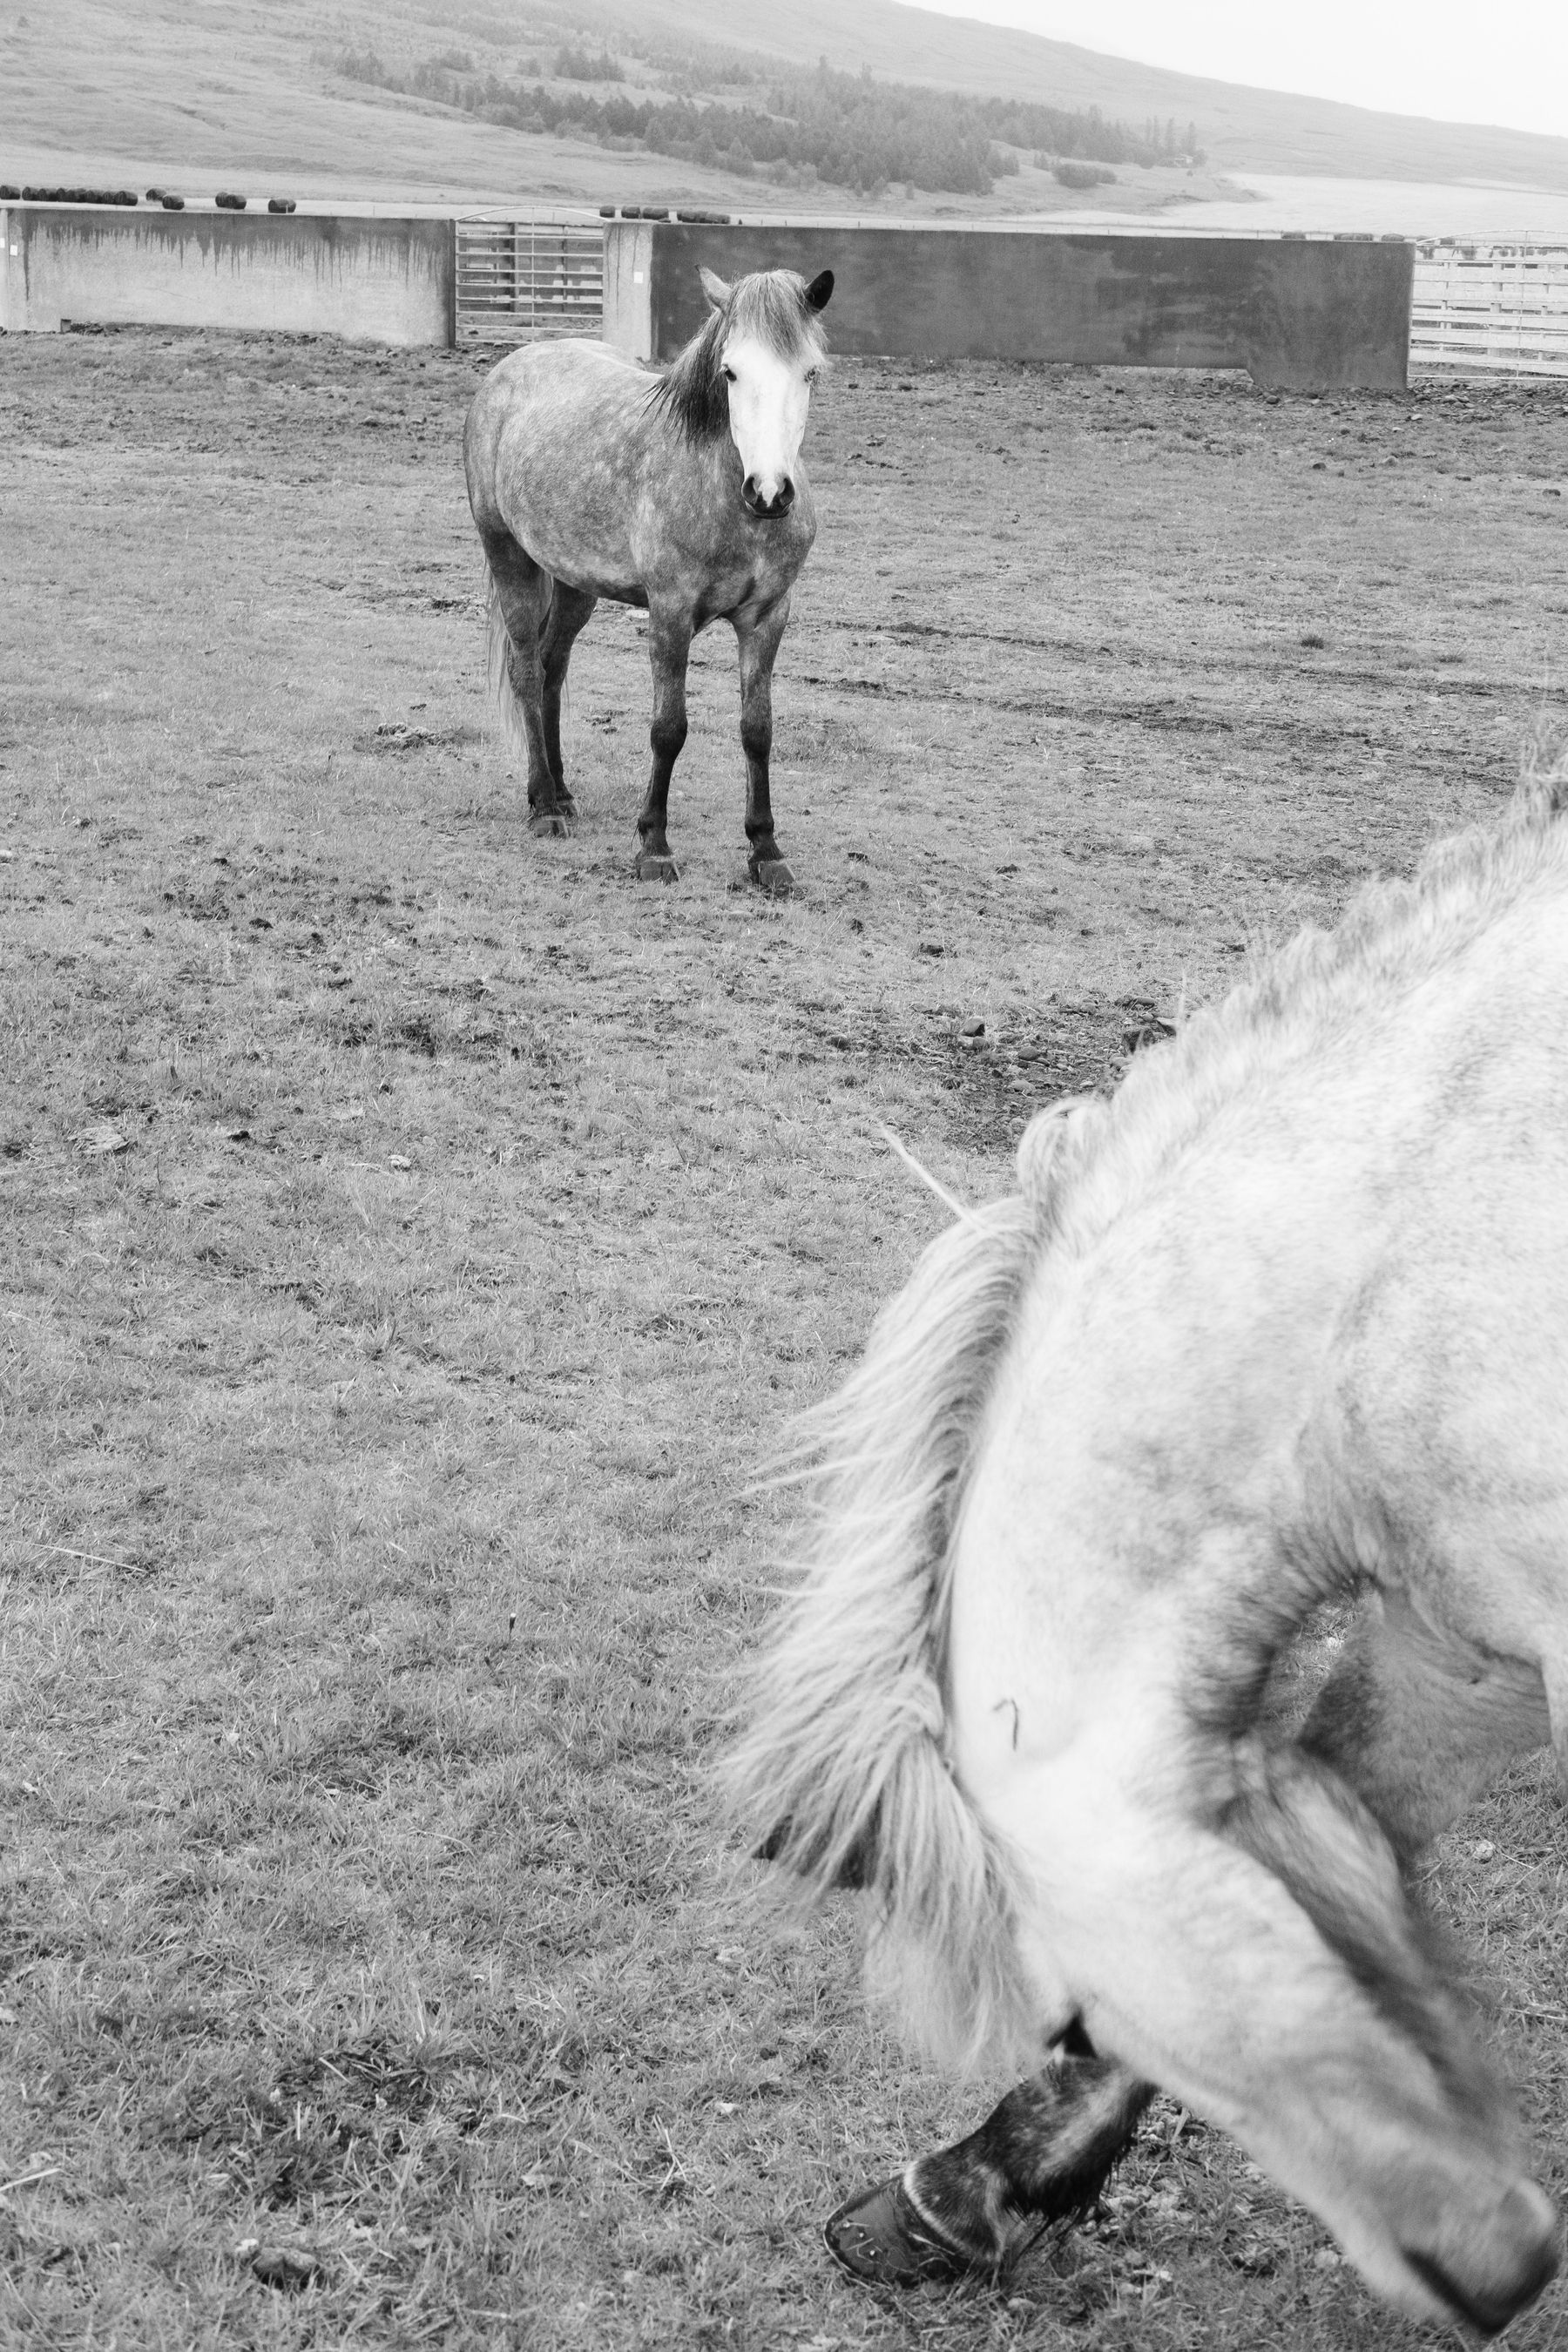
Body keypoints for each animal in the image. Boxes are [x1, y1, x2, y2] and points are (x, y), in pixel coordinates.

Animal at [463, 262, 832, 894]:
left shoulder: (768, 617)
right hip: (509, 556)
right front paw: (654, 846)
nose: (769, 492)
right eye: (731, 371)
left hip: (575, 583)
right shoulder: (670, 613)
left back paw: (561, 793)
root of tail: (510, 369)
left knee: (553, 669)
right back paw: (543, 807)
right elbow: (669, 728)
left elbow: (757, 730)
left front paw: (765, 850)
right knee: (528, 672)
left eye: (809, 371)